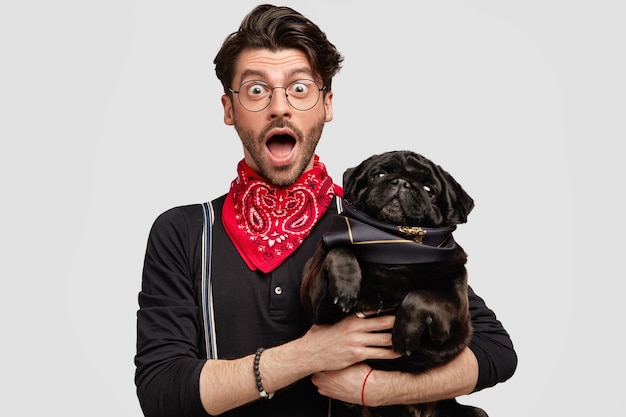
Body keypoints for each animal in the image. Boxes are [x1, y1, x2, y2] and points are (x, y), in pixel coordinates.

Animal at [300, 150, 486, 416]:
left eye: (429, 190)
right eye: (379, 174)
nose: (401, 182)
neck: (392, 247)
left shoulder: (455, 315)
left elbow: (420, 296)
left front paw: (404, 332)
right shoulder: (316, 304)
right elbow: (341, 247)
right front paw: (346, 287)